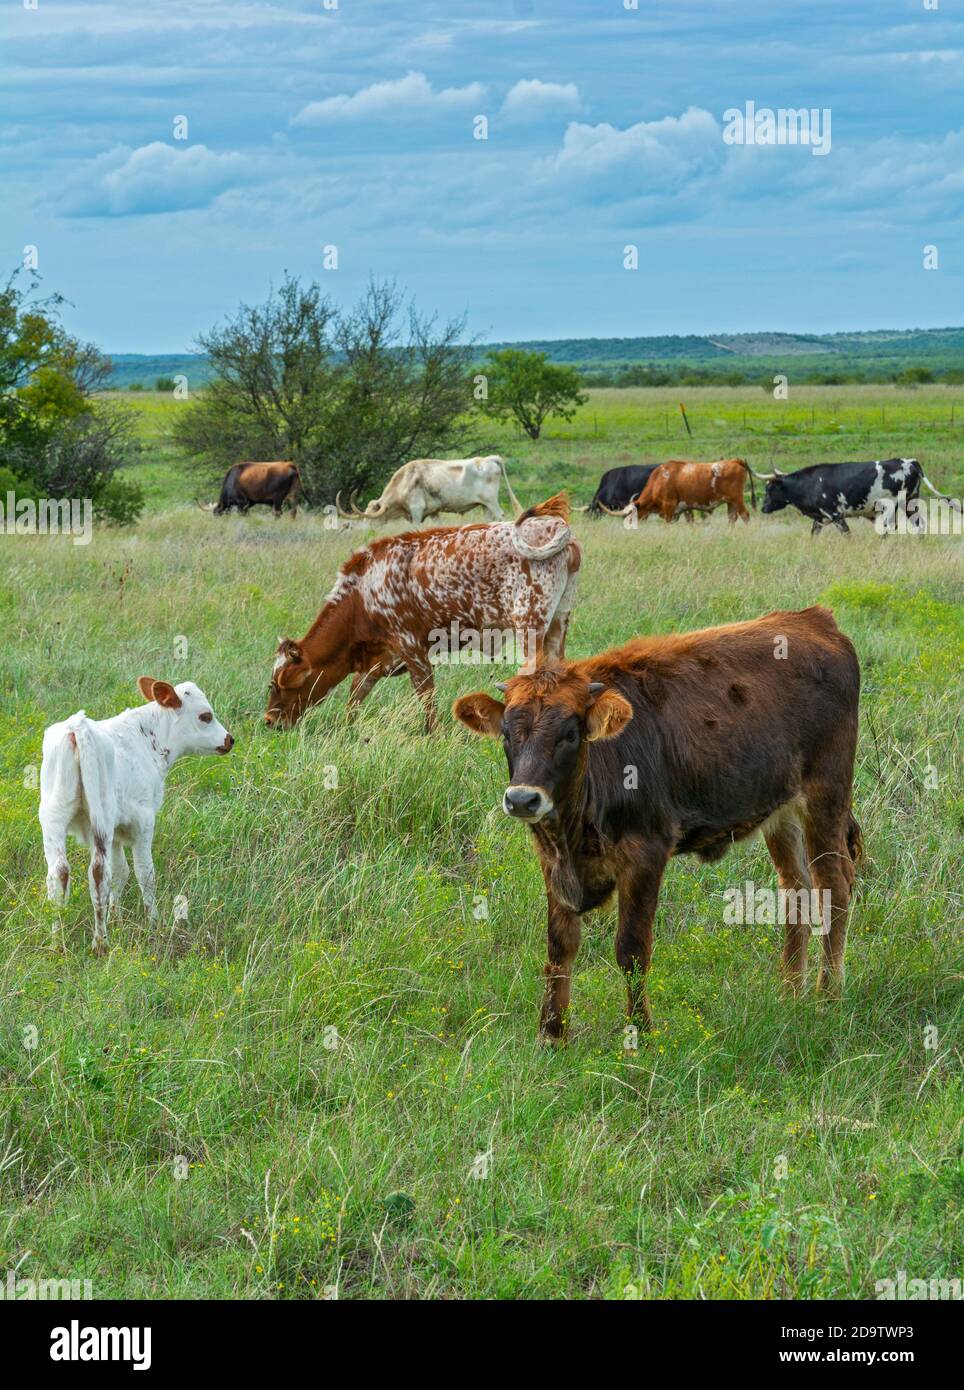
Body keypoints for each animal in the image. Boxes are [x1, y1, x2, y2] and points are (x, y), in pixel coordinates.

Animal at [38, 678, 236, 950]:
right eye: (205, 716)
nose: (229, 740)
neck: (148, 741)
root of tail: (79, 726)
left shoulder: (117, 830)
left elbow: (121, 872)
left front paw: (116, 917)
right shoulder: (142, 821)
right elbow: (144, 872)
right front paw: (153, 923)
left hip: (53, 816)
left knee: (58, 873)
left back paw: (56, 941)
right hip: (101, 817)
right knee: (98, 872)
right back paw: (100, 943)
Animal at [263, 494, 580, 733]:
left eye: (278, 683)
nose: (268, 720)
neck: (363, 592)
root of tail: (558, 529)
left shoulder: (411, 647)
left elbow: (425, 695)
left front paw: (432, 734)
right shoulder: (383, 656)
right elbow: (356, 693)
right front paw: (347, 727)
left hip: (530, 626)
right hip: (558, 624)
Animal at [455, 608, 866, 1045]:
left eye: (570, 733)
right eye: (506, 734)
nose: (522, 799)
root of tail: (812, 619)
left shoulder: (646, 853)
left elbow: (632, 950)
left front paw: (641, 1032)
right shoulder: (553, 861)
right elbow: (560, 945)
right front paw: (552, 1033)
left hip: (826, 795)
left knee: (834, 885)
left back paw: (828, 996)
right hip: (782, 811)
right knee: (795, 888)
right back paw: (790, 992)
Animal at [761, 461, 961, 536]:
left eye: (770, 489)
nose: (763, 508)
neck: (811, 483)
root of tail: (910, 462)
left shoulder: (836, 516)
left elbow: (847, 534)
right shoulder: (820, 518)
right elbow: (814, 534)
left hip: (890, 507)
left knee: (887, 530)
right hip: (910, 504)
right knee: (919, 526)